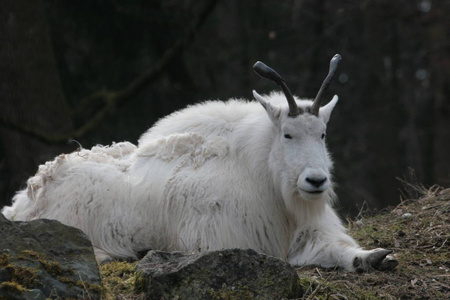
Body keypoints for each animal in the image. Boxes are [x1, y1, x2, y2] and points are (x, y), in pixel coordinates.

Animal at [3, 54, 398, 272]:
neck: (260, 176)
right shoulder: (220, 239)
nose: (315, 181)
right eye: (287, 134)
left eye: (323, 134)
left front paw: (373, 258)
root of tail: (22, 200)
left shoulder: (306, 233)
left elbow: (338, 250)